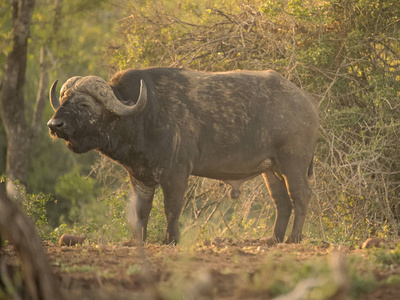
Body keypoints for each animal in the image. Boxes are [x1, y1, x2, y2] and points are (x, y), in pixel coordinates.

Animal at [47, 67, 318, 244]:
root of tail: (306, 103)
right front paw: (138, 240)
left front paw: (171, 239)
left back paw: (294, 238)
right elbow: (141, 211)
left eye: (84, 105)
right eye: (63, 99)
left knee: (301, 196)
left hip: (293, 163)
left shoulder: (175, 173)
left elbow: (172, 207)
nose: (54, 124)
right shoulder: (140, 177)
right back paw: (273, 238)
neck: (145, 116)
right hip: (271, 170)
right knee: (281, 201)